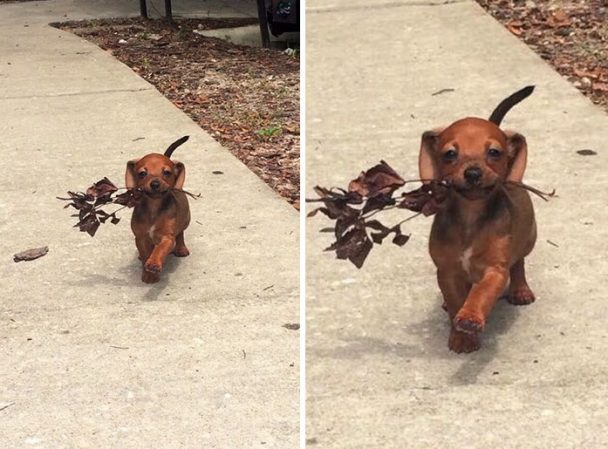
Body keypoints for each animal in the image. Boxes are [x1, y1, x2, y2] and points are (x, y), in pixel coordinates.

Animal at [123, 136, 190, 284]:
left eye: (167, 172)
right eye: (142, 173)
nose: (155, 183)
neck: (154, 206)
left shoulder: (167, 238)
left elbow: (160, 250)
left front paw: (153, 264)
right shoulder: (141, 237)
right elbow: (146, 253)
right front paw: (148, 274)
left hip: (186, 220)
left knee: (181, 233)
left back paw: (181, 248)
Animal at [420, 86, 536, 354]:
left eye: (494, 152)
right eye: (450, 154)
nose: (472, 173)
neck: (470, 215)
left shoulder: (495, 270)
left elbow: (480, 294)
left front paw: (470, 318)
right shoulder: (447, 271)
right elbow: (455, 301)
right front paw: (461, 335)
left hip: (529, 239)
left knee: (519, 263)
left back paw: (521, 290)